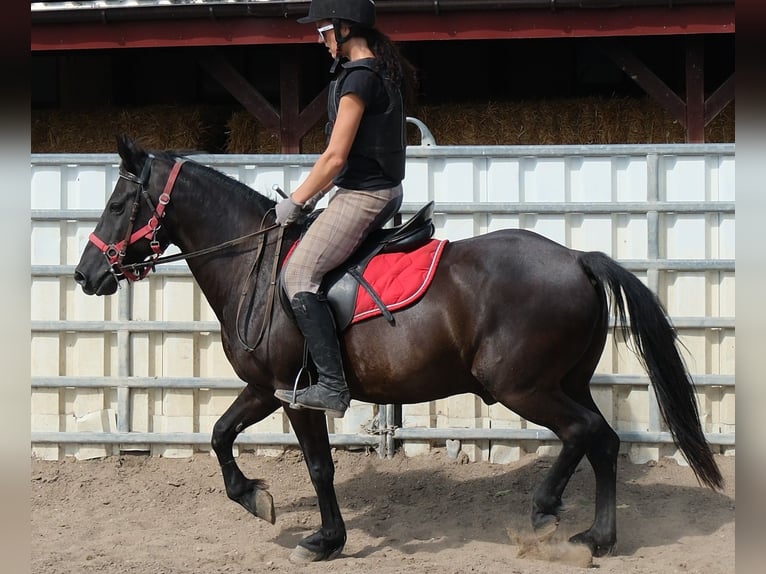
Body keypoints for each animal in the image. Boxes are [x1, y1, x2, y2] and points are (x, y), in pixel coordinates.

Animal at [74, 134, 722, 562]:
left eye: (116, 204)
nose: (86, 275)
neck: (255, 265)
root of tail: (579, 259)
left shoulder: (298, 395)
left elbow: (319, 466)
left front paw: (325, 540)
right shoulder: (266, 388)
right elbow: (219, 434)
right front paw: (254, 497)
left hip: (523, 386)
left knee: (583, 434)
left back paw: (547, 512)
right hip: (565, 381)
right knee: (602, 440)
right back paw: (596, 537)